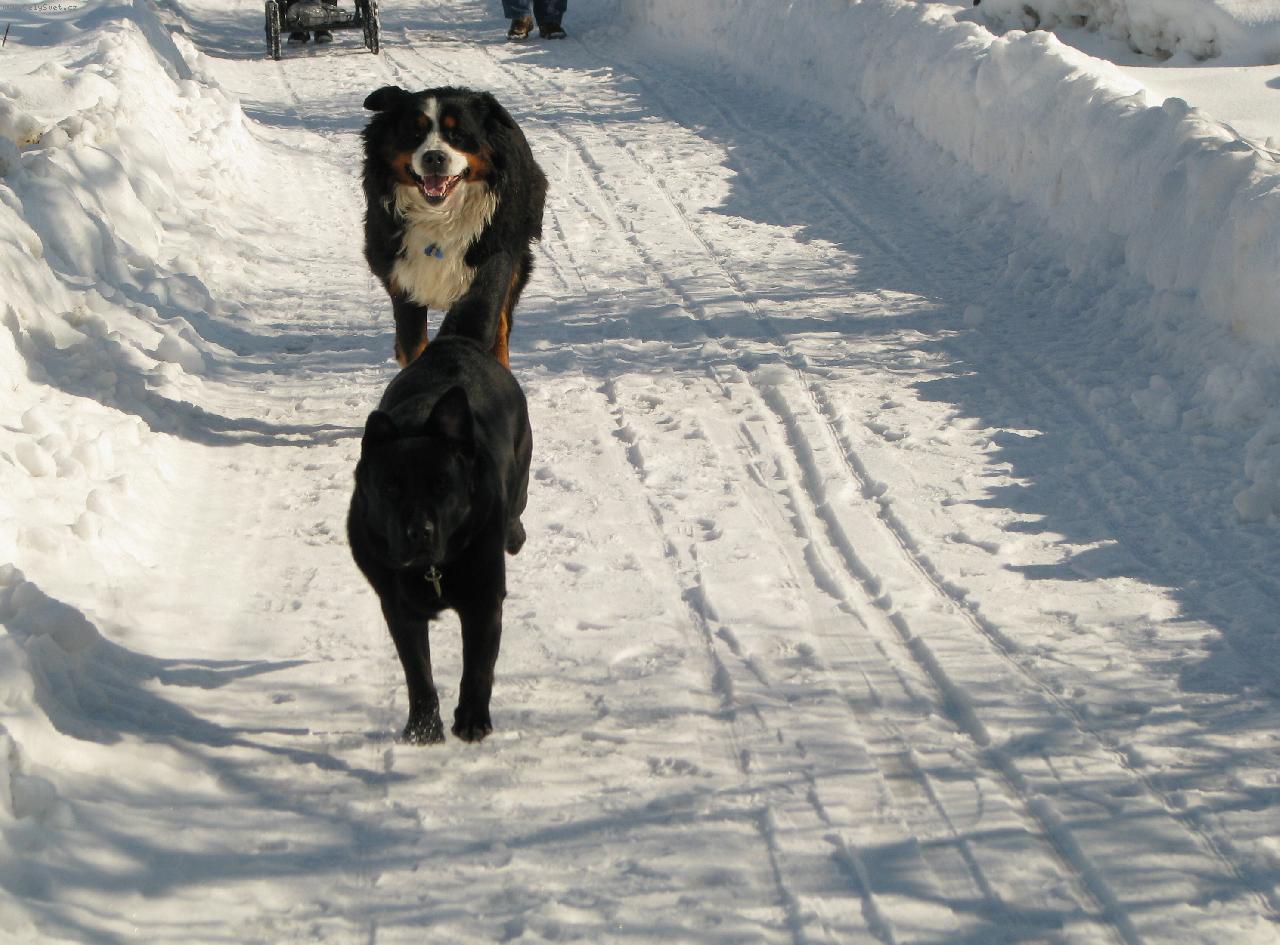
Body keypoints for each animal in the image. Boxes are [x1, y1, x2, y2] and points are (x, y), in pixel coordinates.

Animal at [347, 299, 532, 744]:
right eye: (391, 488)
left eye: (442, 484)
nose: (420, 531)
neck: (432, 570)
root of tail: (456, 342)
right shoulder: (398, 608)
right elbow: (418, 673)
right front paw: (422, 730)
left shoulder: (484, 599)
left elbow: (478, 667)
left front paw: (472, 722)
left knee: (517, 508)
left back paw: (515, 533)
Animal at [361, 84, 547, 369]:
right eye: (415, 133)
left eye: (458, 135)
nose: (434, 157)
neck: (440, 218)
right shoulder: (404, 278)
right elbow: (414, 343)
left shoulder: (491, 265)